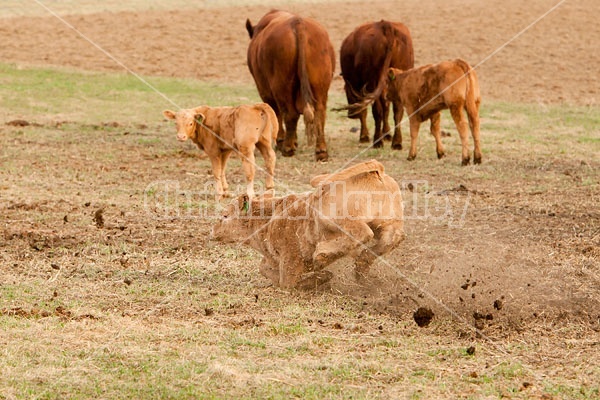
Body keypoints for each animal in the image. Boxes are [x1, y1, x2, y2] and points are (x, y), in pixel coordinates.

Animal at [211, 160, 404, 290]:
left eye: (225, 216)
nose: (212, 231)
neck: (268, 219)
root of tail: (376, 172)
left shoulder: (290, 258)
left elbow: (287, 282)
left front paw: (321, 277)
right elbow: (264, 268)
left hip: (331, 216)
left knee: (362, 232)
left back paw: (322, 255)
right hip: (389, 222)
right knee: (393, 238)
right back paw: (361, 265)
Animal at [246, 10, 336, 162]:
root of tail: (298, 22)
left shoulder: (265, 91)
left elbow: (276, 114)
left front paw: (282, 141)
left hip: (281, 86)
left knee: (289, 114)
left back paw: (287, 148)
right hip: (320, 87)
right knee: (319, 113)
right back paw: (321, 151)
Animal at [340, 20, 414, 148]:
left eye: (346, 91)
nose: (351, 115)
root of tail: (385, 25)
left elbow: (364, 111)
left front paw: (364, 136)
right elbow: (386, 108)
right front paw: (387, 134)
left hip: (372, 83)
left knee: (377, 110)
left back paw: (377, 141)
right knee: (397, 110)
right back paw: (396, 142)